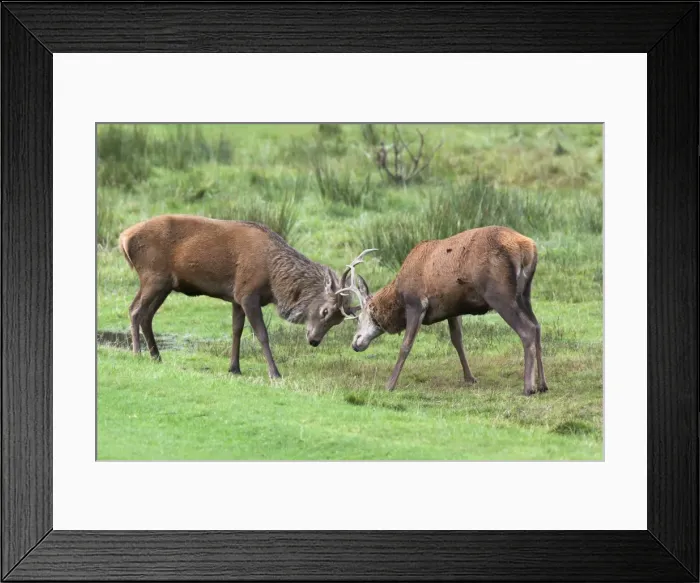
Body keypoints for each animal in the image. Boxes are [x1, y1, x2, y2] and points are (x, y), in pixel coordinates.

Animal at [119, 214, 363, 379]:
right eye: (325, 311)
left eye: (338, 321)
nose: (314, 341)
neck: (273, 278)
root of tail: (123, 238)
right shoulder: (247, 293)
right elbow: (261, 334)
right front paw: (275, 373)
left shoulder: (236, 297)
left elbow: (236, 330)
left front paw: (234, 367)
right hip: (153, 276)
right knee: (135, 310)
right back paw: (137, 353)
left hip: (164, 285)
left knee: (147, 315)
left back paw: (156, 355)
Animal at [339, 226, 549, 396]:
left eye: (359, 317)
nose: (355, 343)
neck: (398, 293)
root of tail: (527, 247)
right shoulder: (452, 309)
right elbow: (457, 340)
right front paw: (470, 378)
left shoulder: (416, 303)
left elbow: (406, 345)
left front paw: (389, 384)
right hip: (525, 293)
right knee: (537, 326)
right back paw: (543, 385)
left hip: (500, 294)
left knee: (527, 330)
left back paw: (528, 387)